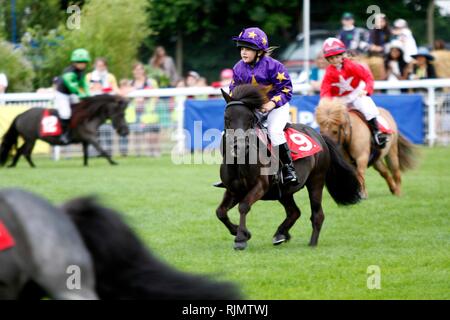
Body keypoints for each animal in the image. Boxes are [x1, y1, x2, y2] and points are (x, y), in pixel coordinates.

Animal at [215, 85, 362, 250]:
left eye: (250, 119)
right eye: (227, 118)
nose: (239, 146)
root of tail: (319, 136)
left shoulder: (260, 186)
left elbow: (244, 206)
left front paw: (241, 238)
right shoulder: (233, 190)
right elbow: (220, 212)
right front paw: (241, 233)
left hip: (316, 181)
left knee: (317, 214)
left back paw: (311, 243)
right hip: (284, 191)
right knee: (294, 212)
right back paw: (281, 234)